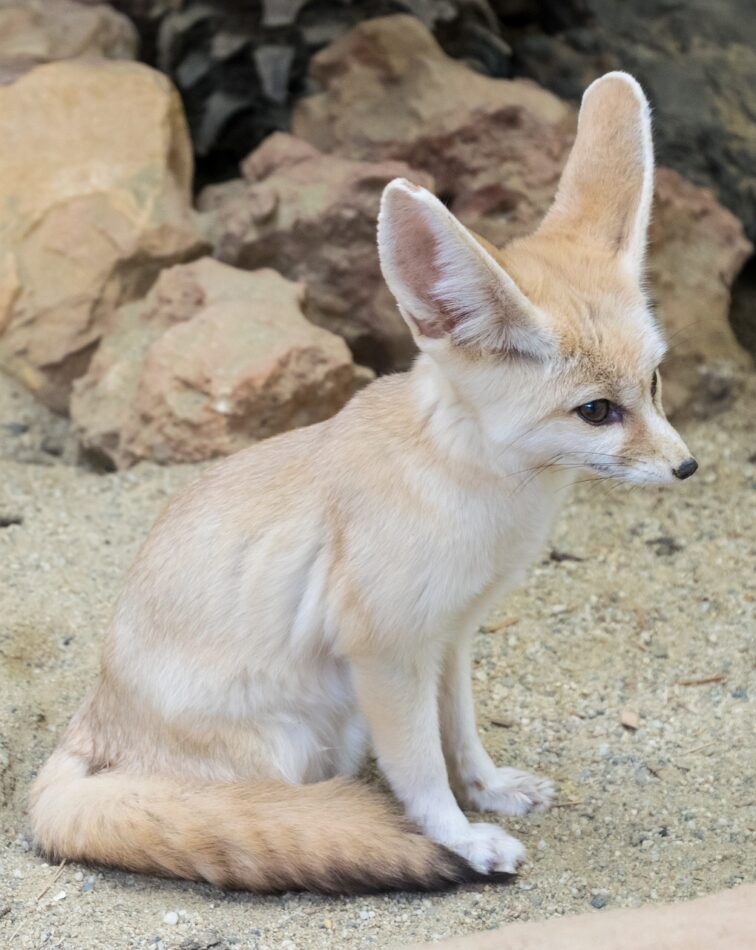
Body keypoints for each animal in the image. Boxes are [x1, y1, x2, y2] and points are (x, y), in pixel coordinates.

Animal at [32, 74, 700, 892]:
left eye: (655, 382)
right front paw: (460, 838)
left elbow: (460, 735)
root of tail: (92, 721)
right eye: (597, 411)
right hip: (297, 739)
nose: (686, 466)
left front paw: (489, 790)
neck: (473, 487)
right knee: (269, 810)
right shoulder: (387, 653)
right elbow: (420, 769)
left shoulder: (450, 637)